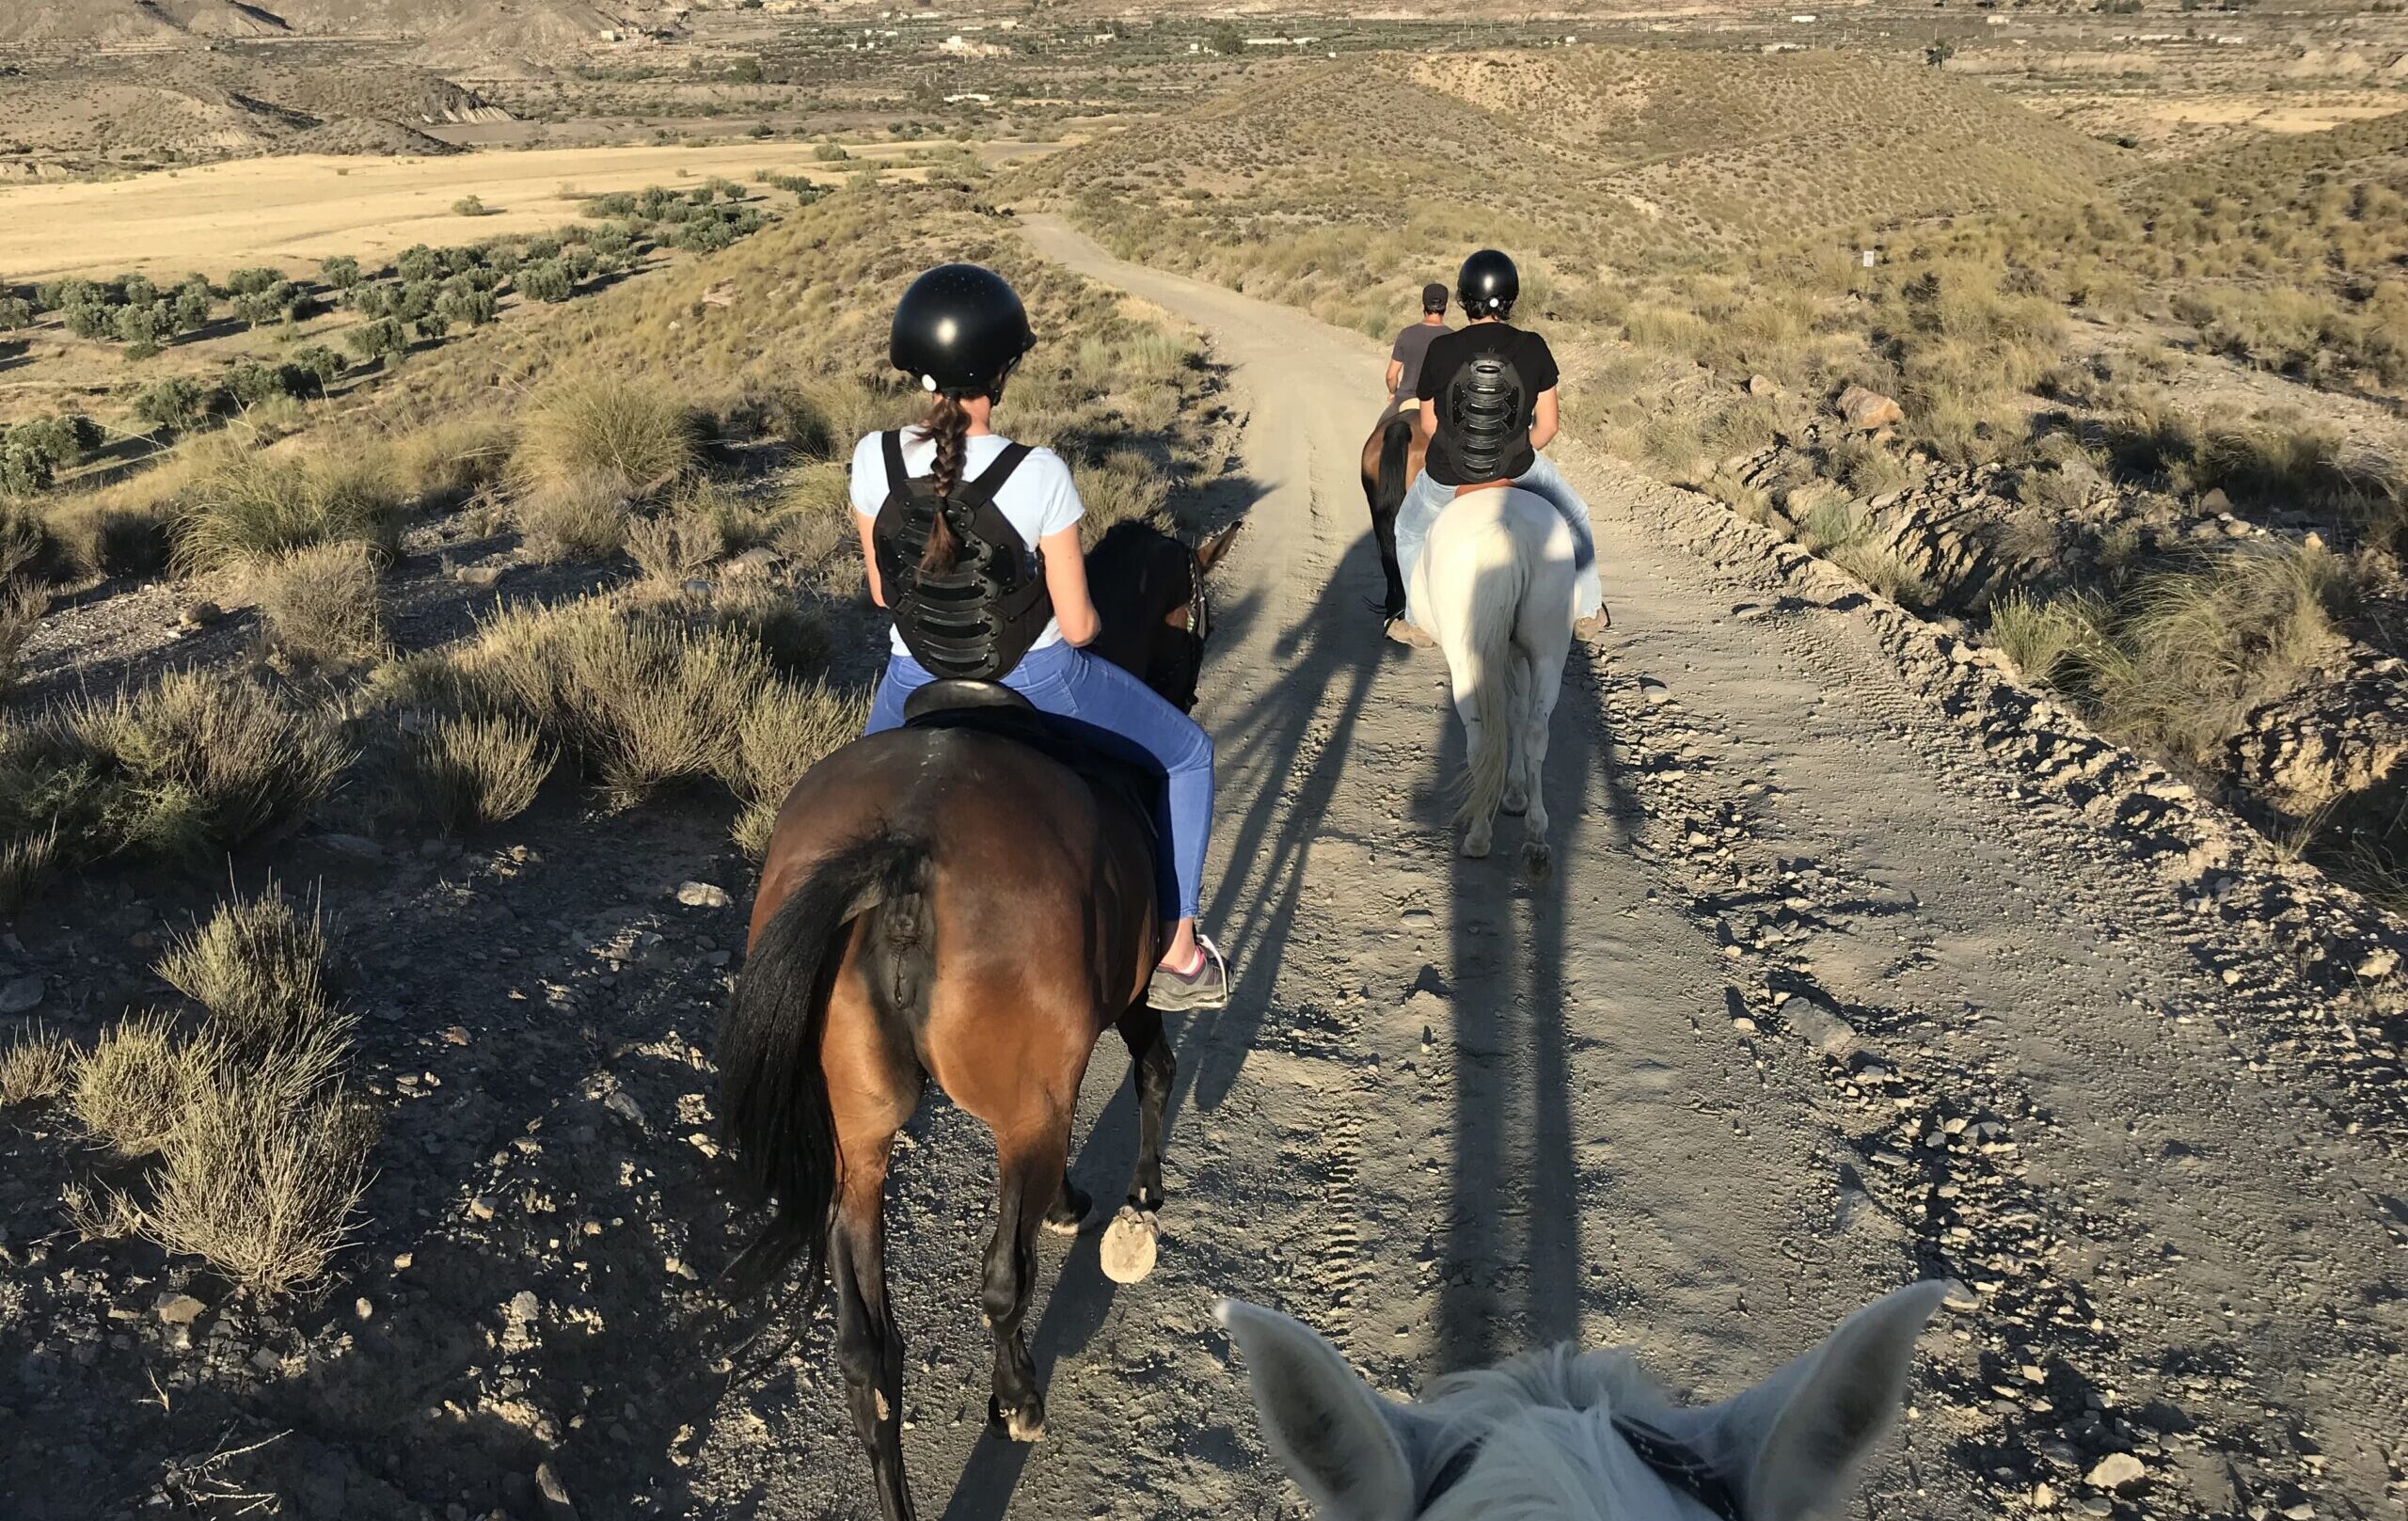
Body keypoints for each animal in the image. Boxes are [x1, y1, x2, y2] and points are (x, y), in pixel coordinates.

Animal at [712, 517, 1242, 1511]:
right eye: (1198, 616)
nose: (1188, 687)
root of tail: (902, 851)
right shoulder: (1126, 996)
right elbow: (1154, 1067)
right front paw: (1141, 1193)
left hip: (856, 1137)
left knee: (865, 1354)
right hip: (1015, 1107)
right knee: (1001, 1278)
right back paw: (1020, 1397)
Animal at [1406, 481, 1579, 871]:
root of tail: (1506, 531)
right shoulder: (1517, 654)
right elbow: (1517, 713)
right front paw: (1515, 794)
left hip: (1465, 657)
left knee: (1480, 738)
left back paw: (1478, 836)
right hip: (1549, 651)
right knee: (1536, 732)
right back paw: (1536, 836)